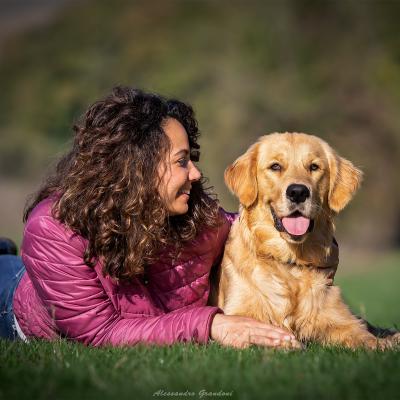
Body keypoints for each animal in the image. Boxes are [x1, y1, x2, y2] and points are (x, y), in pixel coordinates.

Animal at [212, 133, 396, 348]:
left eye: (314, 167)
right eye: (275, 166)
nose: (298, 192)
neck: (291, 261)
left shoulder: (337, 317)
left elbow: (362, 335)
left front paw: (383, 344)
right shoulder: (241, 311)